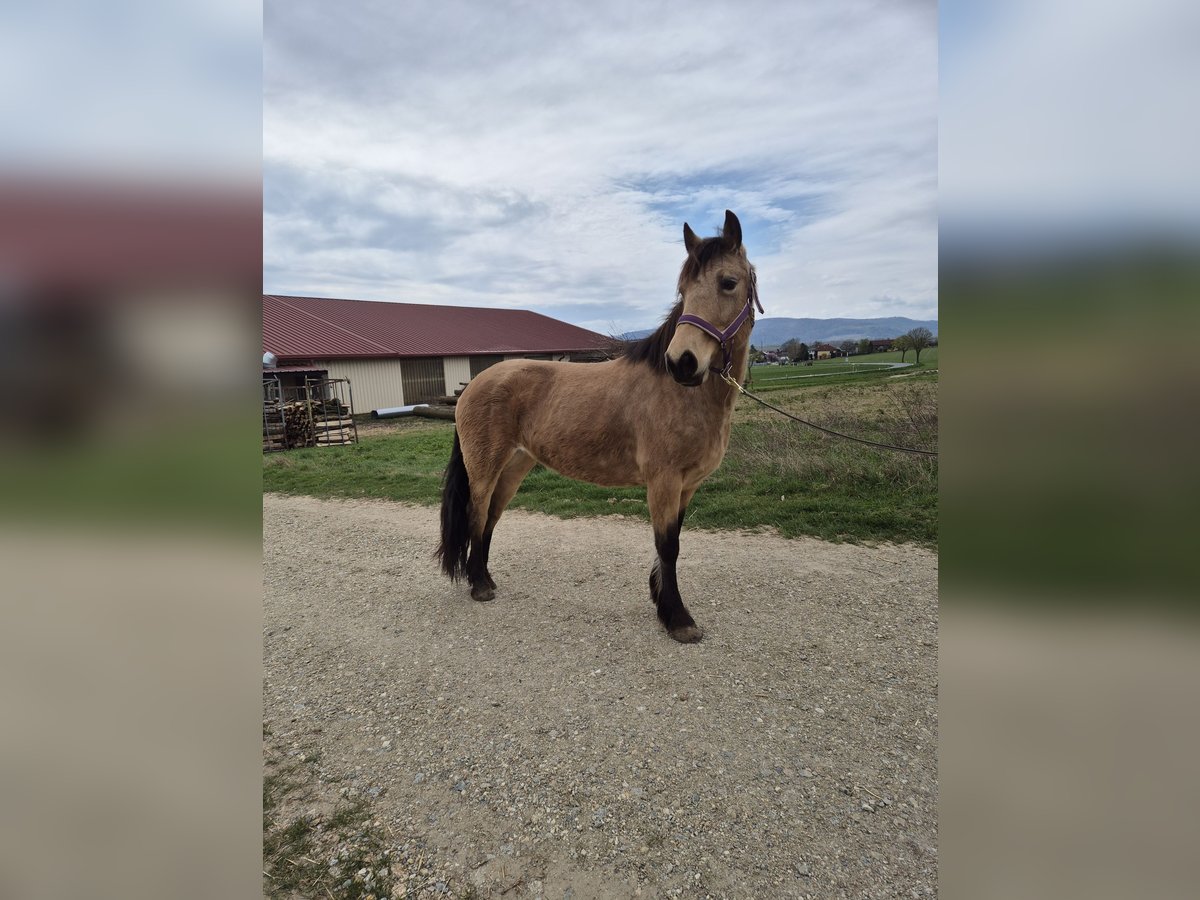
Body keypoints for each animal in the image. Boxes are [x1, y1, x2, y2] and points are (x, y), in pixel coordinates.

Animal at [436, 210, 761, 643]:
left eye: (728, 282)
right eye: (684, 289)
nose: (682, 362)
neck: (681, 393)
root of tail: (473, 385)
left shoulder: (687, 485)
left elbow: (671, 542)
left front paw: (662, 603)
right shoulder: (664, 481)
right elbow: (668, 546)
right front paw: (678, 619)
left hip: (515, 466)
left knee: (490, 519)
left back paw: (485, 580)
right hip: (485, 468)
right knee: (476, 515)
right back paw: (478, 587)